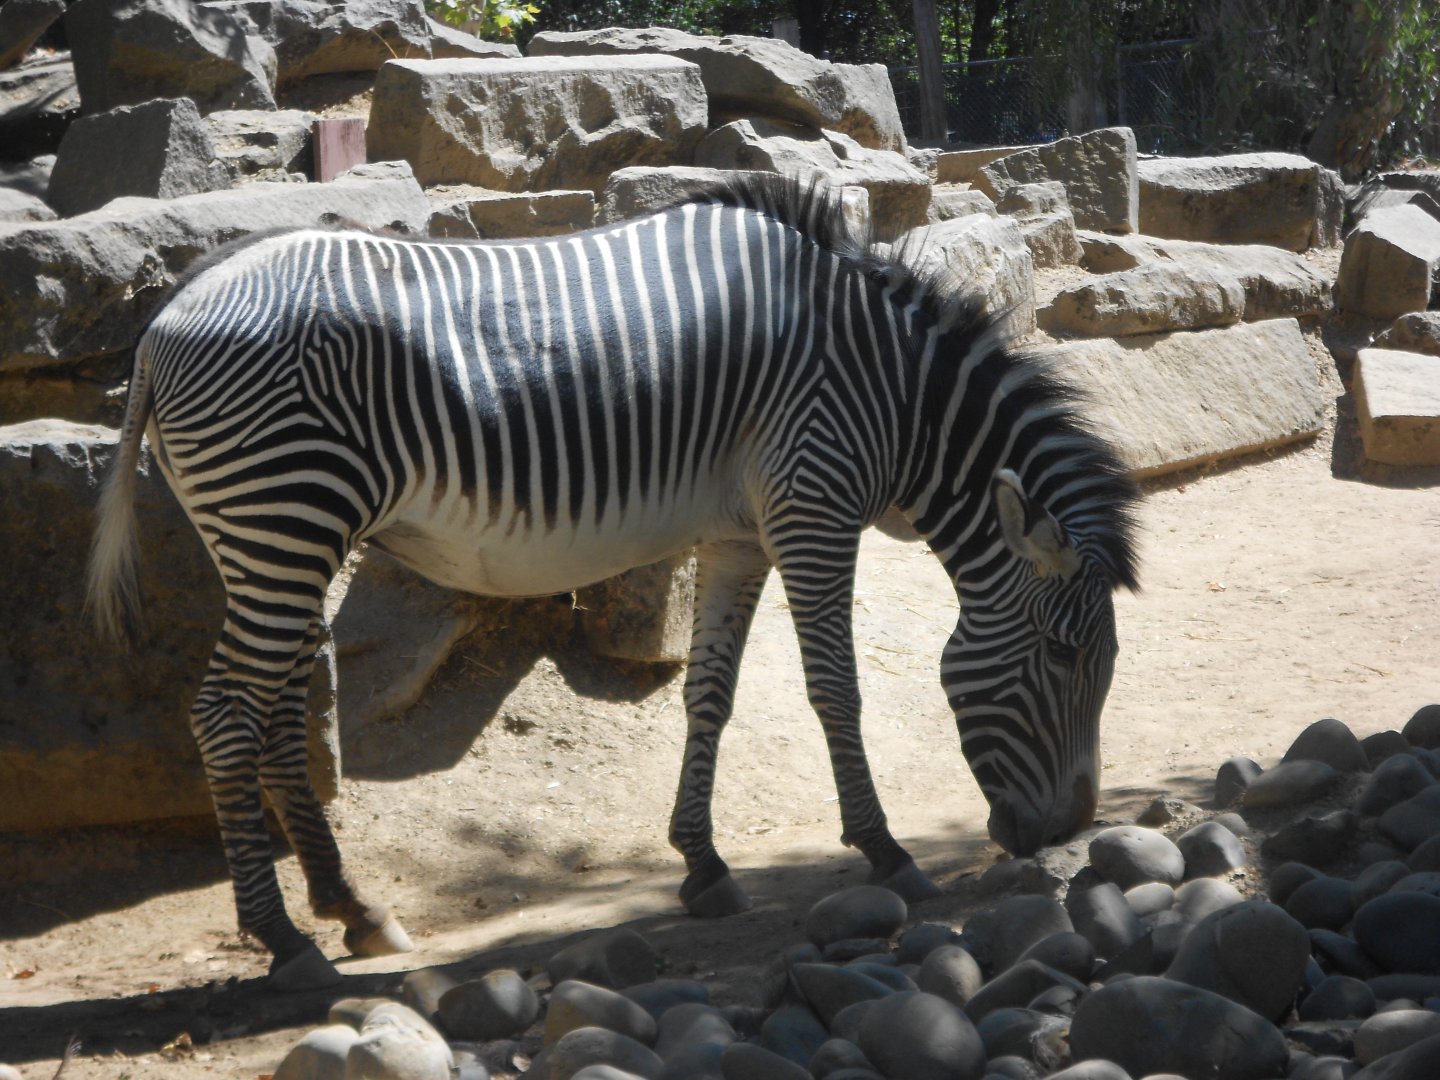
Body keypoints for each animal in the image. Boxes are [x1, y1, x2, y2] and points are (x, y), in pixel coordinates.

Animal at [88, 173, 1139, 991]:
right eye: (1063, 653)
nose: (1064, 832)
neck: (893, 386)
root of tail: (167, 316)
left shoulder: (740, 536)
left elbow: (711, 694)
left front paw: (704, 865)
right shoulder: (813, 507)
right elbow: (835, 689)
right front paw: (885, 852)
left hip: (275, 538)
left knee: (274, 710)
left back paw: (352, 908)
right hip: (286, 516)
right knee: (226, 713)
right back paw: (282, 940)